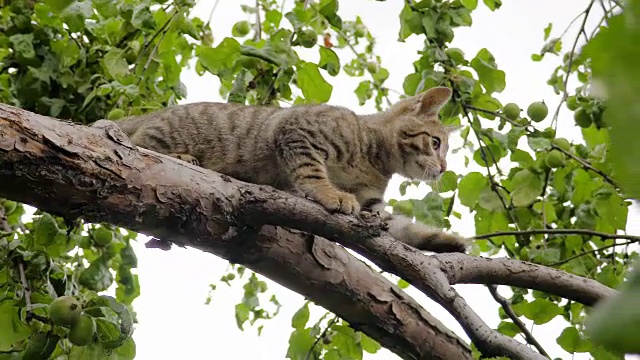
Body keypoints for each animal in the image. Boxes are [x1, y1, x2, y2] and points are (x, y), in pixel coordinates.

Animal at [107, 86, 468, 253]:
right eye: (436, 142)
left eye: (444, 148)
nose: (443, 168)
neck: (374, 159)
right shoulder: (298, 132)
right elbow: (312, 171)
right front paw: (331, 194)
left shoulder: (373, 208)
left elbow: (402, 228)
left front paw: (442, 240)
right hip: (164, 132)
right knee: (140, 141)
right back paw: (181, 155)